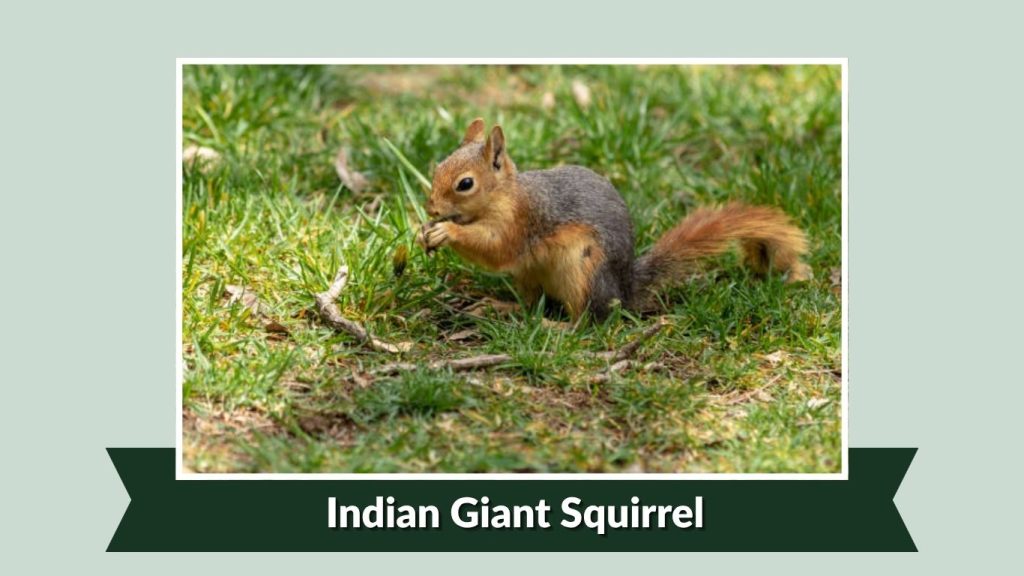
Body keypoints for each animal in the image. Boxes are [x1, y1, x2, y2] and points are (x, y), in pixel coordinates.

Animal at [417, 118, 811, 320]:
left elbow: (497, 248)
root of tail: (624, 289)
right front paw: (424, 233)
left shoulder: (522, 221)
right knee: (531, 302)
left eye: (465, 184)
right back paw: (499, 306)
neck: (505, 195)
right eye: (438, 167)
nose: (432, 209)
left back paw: (553, 328)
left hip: (583, 271)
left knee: (589, 321)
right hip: (530, 274)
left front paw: (447, 231)